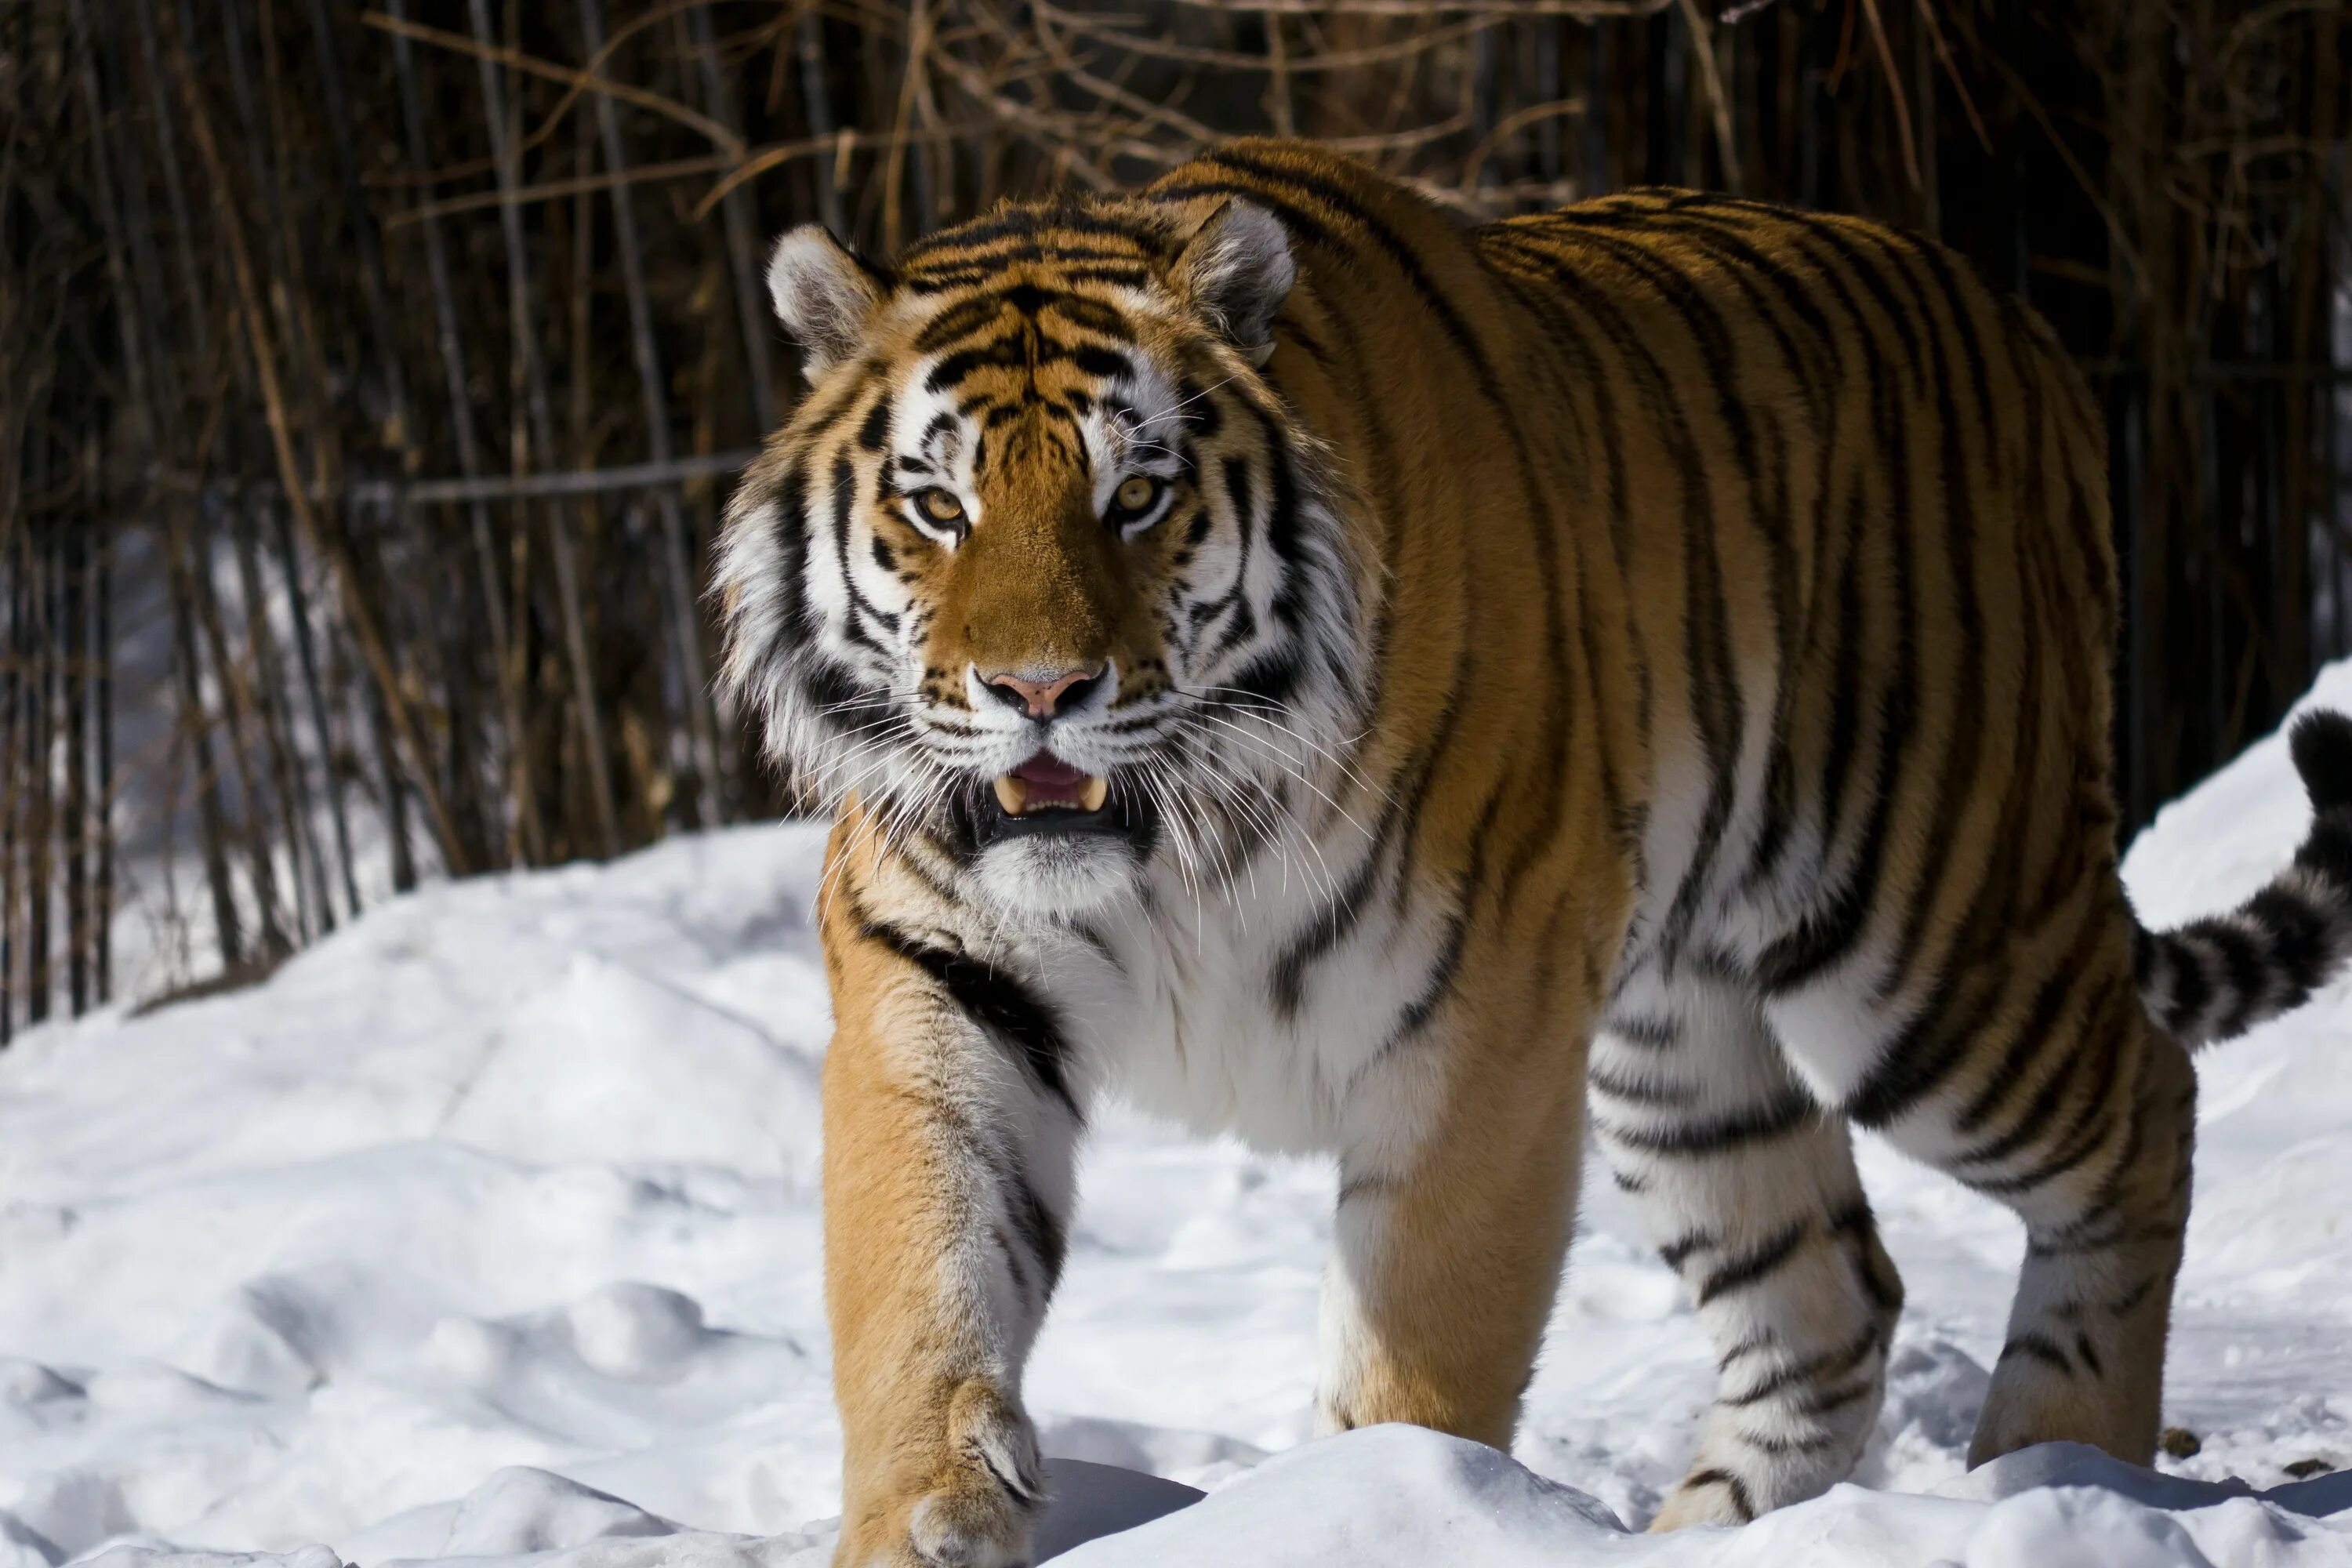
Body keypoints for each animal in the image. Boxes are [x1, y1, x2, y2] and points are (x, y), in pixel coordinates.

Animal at [710, 140, 2352, 1561]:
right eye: (938, 504)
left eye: (1140, 496)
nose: (1040, 692)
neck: (1178, 839)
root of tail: (2030, 336)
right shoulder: (939, 977)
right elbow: (920, 1277)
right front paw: (924, 1518)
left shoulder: (1477, 1021)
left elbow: (1420, 1352)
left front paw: (1375, 1519)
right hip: (1680, 1045)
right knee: (1829, 1297)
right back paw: (1711, 1538)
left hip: (1928, 942)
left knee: (2147, 1108)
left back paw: (2059, 1463)